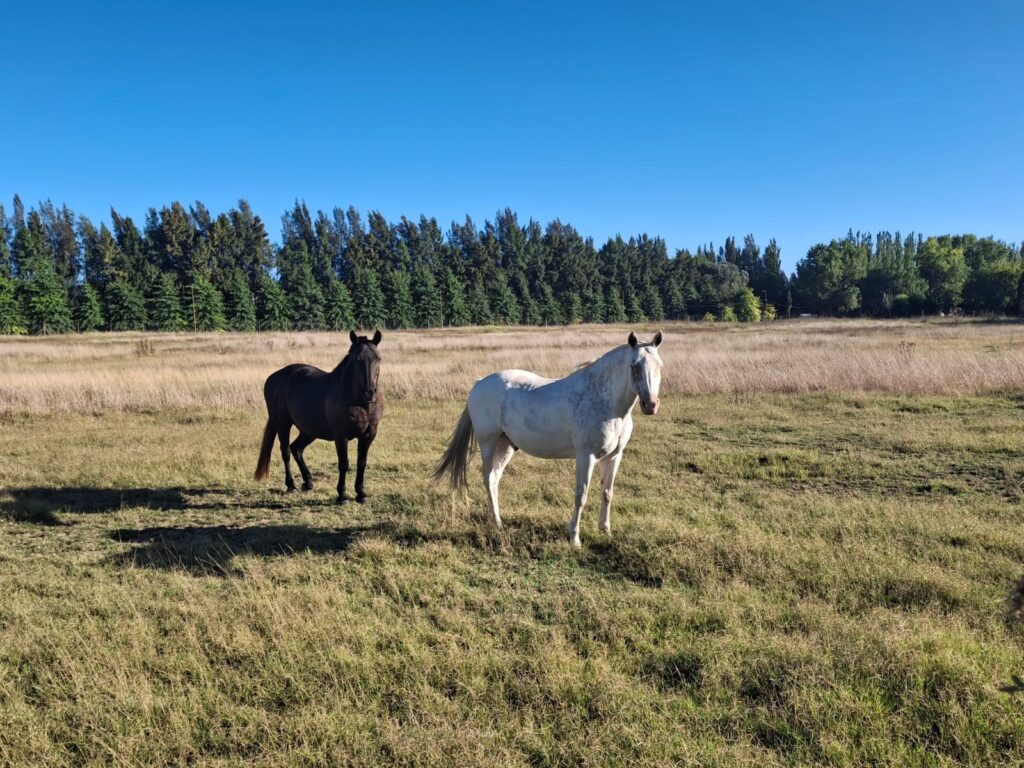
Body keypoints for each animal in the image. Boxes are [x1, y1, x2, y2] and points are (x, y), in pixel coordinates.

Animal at [254, 330, 384, 503]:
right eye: (357, 360)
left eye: (378, 358)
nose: (370, 393)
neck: (360, 403)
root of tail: (274, 377)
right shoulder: (341, 436)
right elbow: (344, 463)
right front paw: (342, 496)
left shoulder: (369, 434)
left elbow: (361, 462)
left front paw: (361, 494)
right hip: (283, 423)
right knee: (286, 451)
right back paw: (291, 485)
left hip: (309, 430)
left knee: (297, 448)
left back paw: (308, 482)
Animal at [434, 330, 664, 547]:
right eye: (634, 366)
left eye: (659, 365)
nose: (650, 405)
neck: (604, 402)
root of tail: (479, 382)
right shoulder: (586, 456)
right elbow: (581, 495)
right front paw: (574, 538)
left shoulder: (614, 456)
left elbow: (607, 493)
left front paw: (606, 531)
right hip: (488, 443)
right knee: (488, 478)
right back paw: (497, 523)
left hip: (505, 445)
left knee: (495, 479)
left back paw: (495, 519)